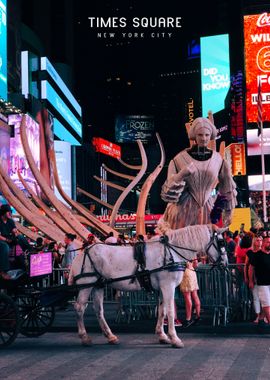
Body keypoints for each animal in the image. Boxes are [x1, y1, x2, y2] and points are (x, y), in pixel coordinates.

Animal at [69, 224, 226, 348]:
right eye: (221, 242)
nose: (225, 263)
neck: (171, 252)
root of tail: (81, 253)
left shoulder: (162, 289)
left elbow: (162, 311)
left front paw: (162, 336)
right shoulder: (168, 286)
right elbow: (170, 311)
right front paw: (175, 339)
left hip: (98, 286)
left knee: (98, 310)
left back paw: (110, 336)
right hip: (86, 285)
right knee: (80, 307)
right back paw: (85, 337)